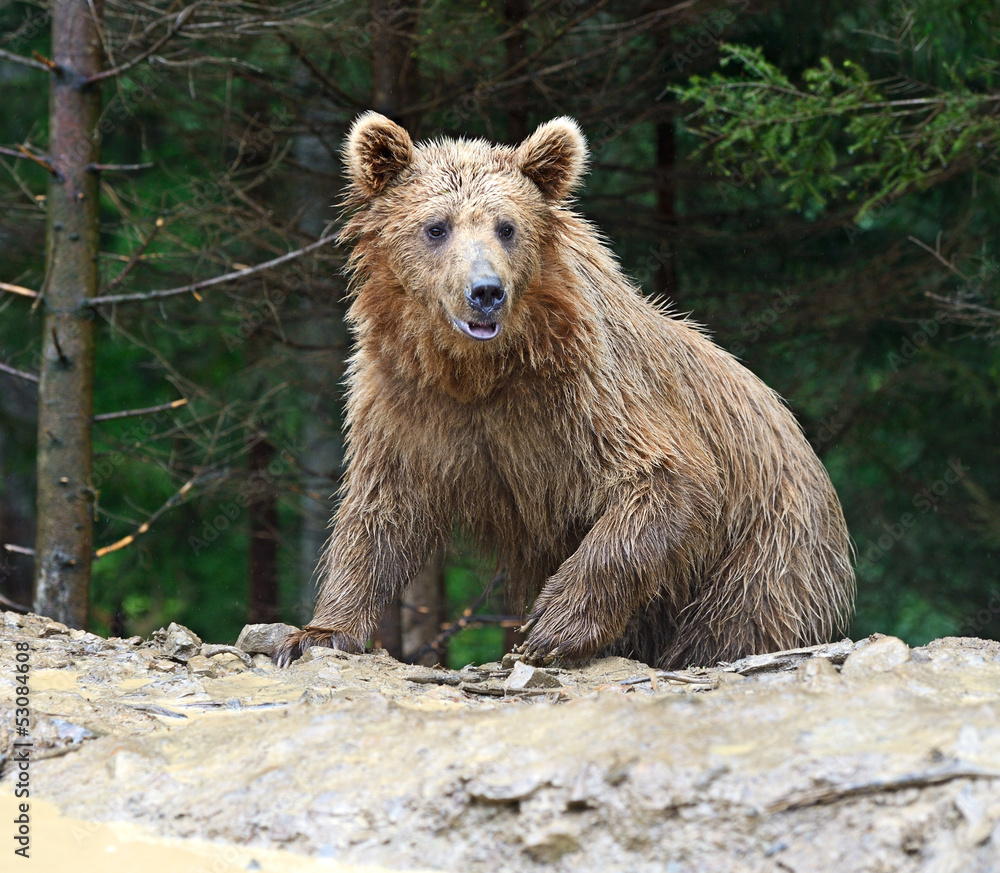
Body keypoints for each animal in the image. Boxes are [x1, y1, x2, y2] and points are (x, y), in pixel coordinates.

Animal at [273, 112, 855, 670]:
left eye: (507, 227)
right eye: (436, 227)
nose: (485, 292)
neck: (478, 372)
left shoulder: (585, 393)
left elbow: (665, 479)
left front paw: (549, 629)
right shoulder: (406, 403)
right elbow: (379, 514)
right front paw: (316, 633)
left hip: (763, 550)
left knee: (735, 623)